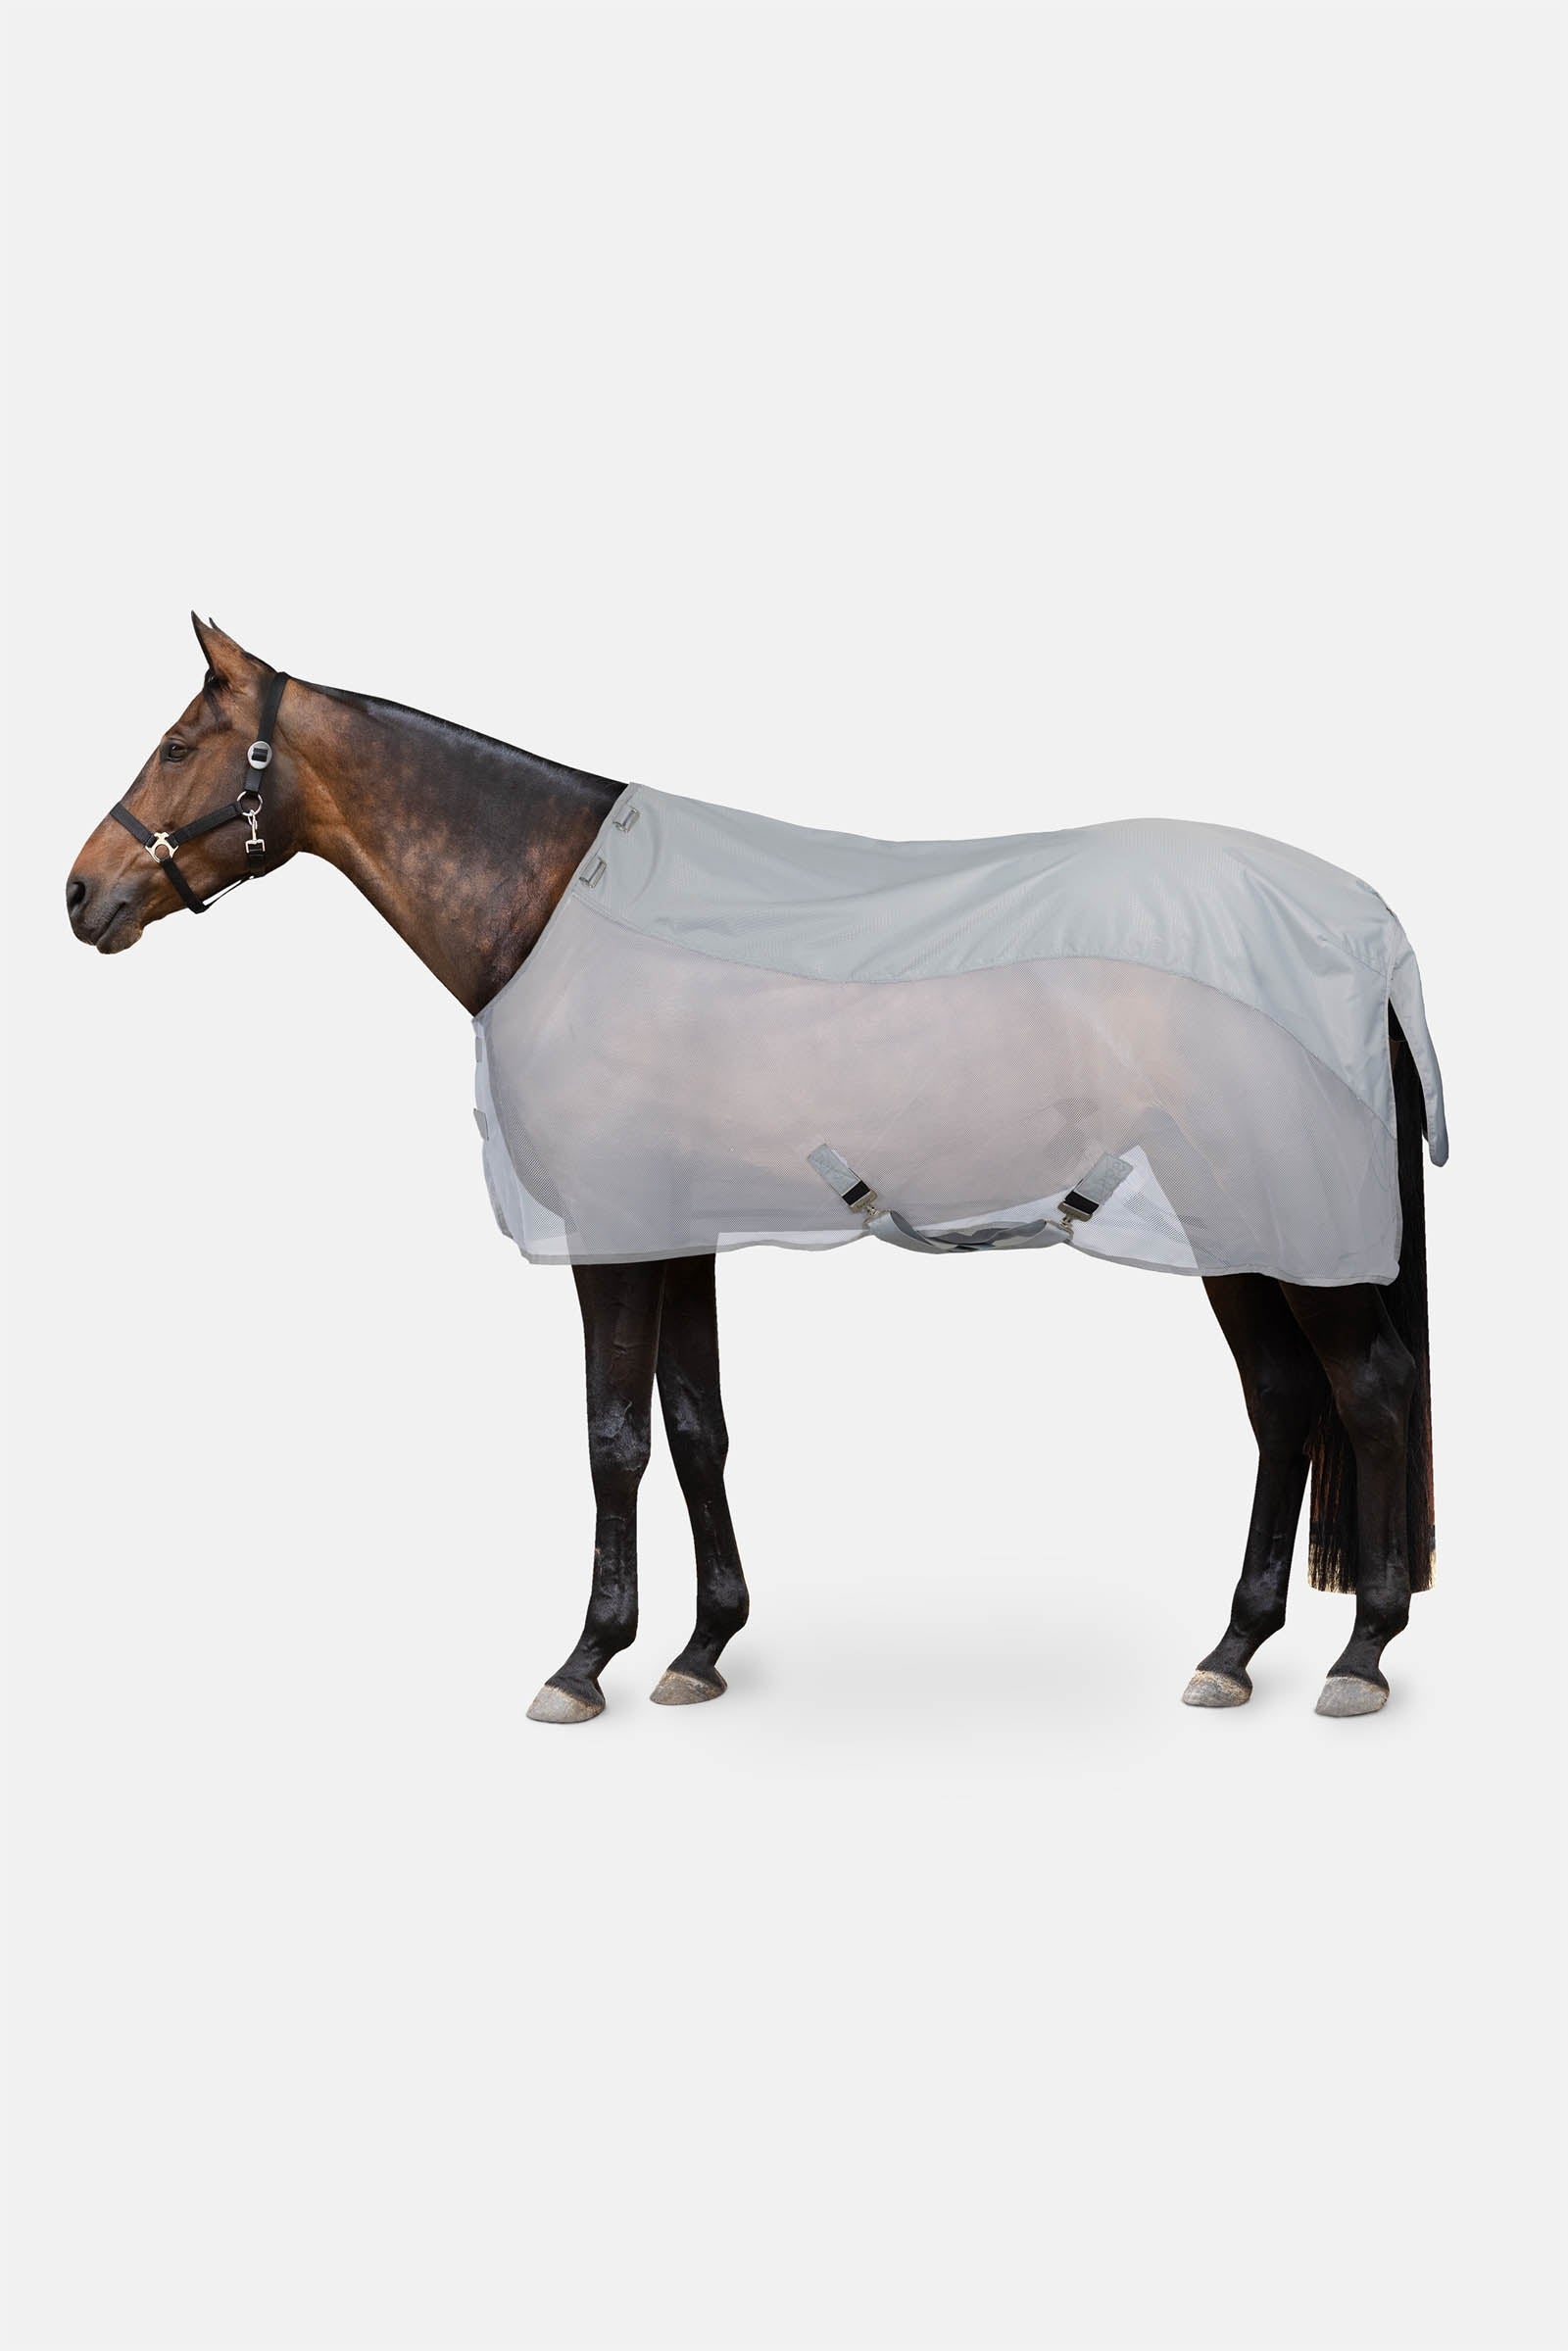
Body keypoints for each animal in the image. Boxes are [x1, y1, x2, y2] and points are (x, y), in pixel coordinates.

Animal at [66, 617, 1436, 1724]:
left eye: (180, 745)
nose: (81, 893)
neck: (552, 905)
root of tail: (1365, 930)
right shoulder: (678, 1230)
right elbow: (695, 1424)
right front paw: (701, 1646)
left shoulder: (613, 1233)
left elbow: (613, 1435)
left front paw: (586, 1661)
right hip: (1230, 1224)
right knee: (1285, 1401)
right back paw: (1234, 1647)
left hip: (1286, 1222)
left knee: (1367, 1391)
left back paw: (1361, 1653)